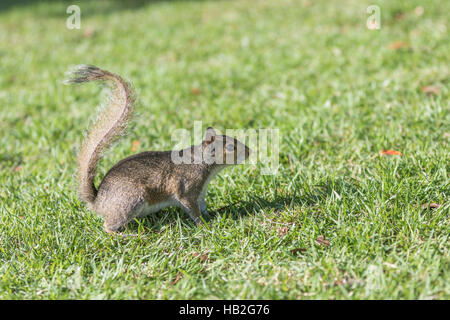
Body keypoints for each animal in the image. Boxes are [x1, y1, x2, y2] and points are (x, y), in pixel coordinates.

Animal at [65, 65, 251, 232]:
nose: (249, 152)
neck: (202, 162)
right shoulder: (186, 188)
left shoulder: (201, 193)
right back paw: (126, 235)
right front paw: (203, 225)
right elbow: (192, 209)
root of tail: (98, 203)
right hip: (131, 200)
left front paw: (212, 216)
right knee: (108, 226)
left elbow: (202, 207)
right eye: (230, 147)